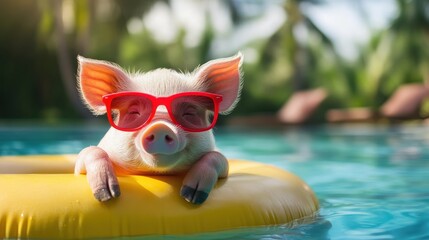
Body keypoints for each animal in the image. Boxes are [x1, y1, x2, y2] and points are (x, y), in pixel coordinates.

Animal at [73, 53, 241, 204]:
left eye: (189, 113)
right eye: (134, 112)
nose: (160, 126)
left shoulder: (223, 163)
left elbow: (217, 157)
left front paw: (191, 196)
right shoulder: (81, 164)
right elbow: (91, 151)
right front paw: (108, 195)